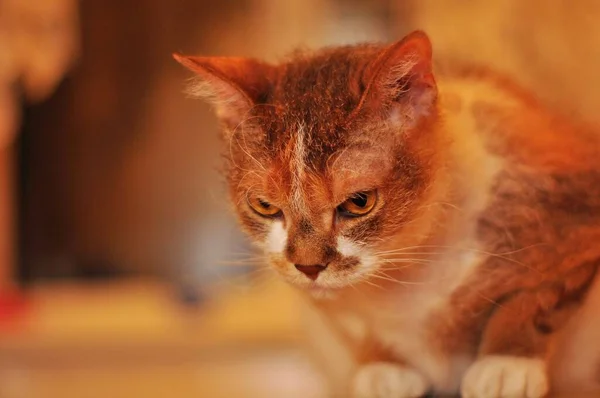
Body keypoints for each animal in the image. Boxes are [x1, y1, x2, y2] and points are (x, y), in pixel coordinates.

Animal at [173, 31, 600, 398]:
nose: (308, 267)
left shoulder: (573, 217)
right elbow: (358, 329)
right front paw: (382, 368)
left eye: (359, 202)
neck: (406, 267)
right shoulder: (326, 309)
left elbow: (532, 299)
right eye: (264, 206)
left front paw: (506, 364)